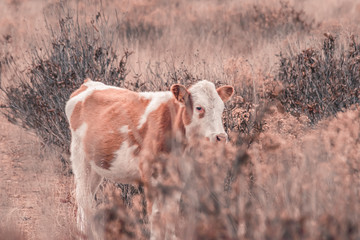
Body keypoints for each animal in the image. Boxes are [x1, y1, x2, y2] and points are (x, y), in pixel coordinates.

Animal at [64, 78, 233, 238]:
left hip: (96, 167)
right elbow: (156, 215)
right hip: (80, 159)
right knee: (84, 198)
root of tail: (88, 83)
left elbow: (171, 213)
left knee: (86, 197)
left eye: (221, 108)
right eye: (199, 107)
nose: (221, 137)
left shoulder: (178, 176)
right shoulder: (149, 174)